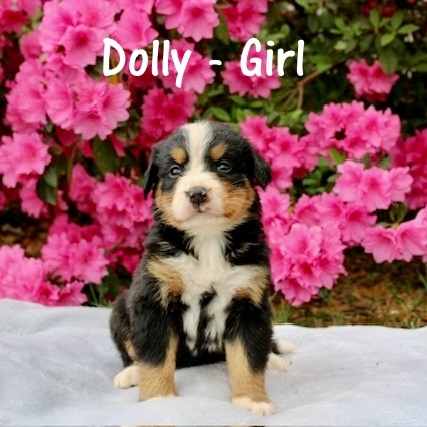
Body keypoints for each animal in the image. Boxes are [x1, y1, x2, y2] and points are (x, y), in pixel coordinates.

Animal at [110, 121, 293, 415]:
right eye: (174, 171)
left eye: (224, 166)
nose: (197, 193)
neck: (207, 241)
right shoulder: (153, 301)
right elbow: (154, 356)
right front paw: (158, 399)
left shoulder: (249, 305)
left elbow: (249, 357)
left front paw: (252, 400)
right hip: (120, 309)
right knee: (131, 350)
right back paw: (131, 373)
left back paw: (274, 359)